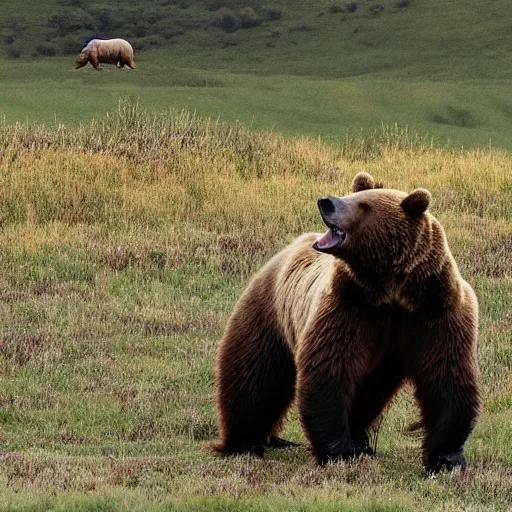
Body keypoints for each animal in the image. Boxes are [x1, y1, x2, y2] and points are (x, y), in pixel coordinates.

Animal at [211, 173, 480, 476]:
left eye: (363, 205)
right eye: (353, 195)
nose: (326, 202)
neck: (391, 290)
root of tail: (286, 250)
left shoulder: (433, 310)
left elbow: (446, 374)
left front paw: (446, 458)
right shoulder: (349, 307)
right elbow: (331, 370)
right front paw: (338, 452)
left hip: (381, 359)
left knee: (368, 390)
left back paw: (359, 439)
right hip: (270, 314)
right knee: (254, 377)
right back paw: (242, 443)